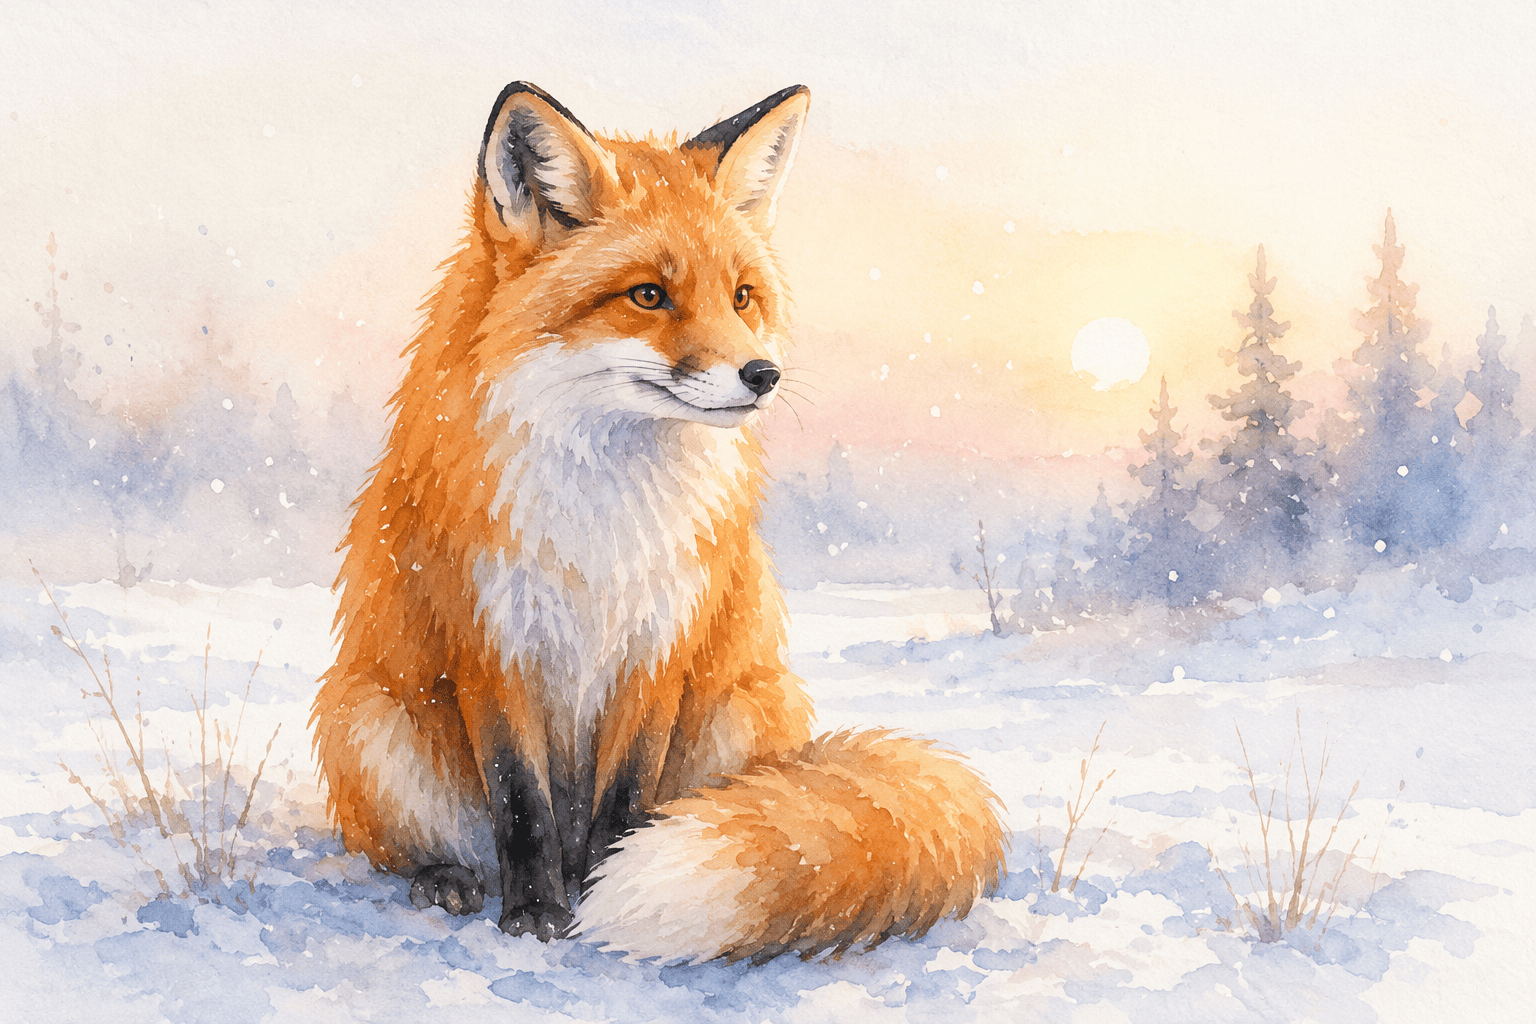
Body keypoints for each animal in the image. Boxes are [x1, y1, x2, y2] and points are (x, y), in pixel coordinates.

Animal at [310, 81, 1007, 964]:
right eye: (649, 295)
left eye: (741, 296)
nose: (763, 374)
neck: (607, 518)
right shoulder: (490, 643)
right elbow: (521, 806)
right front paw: (535, 915)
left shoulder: (660, 643)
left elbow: (624, 797)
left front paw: (601, 893)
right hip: (364, 717)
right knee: (423, 841)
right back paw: (446, 878)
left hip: (750, 708)